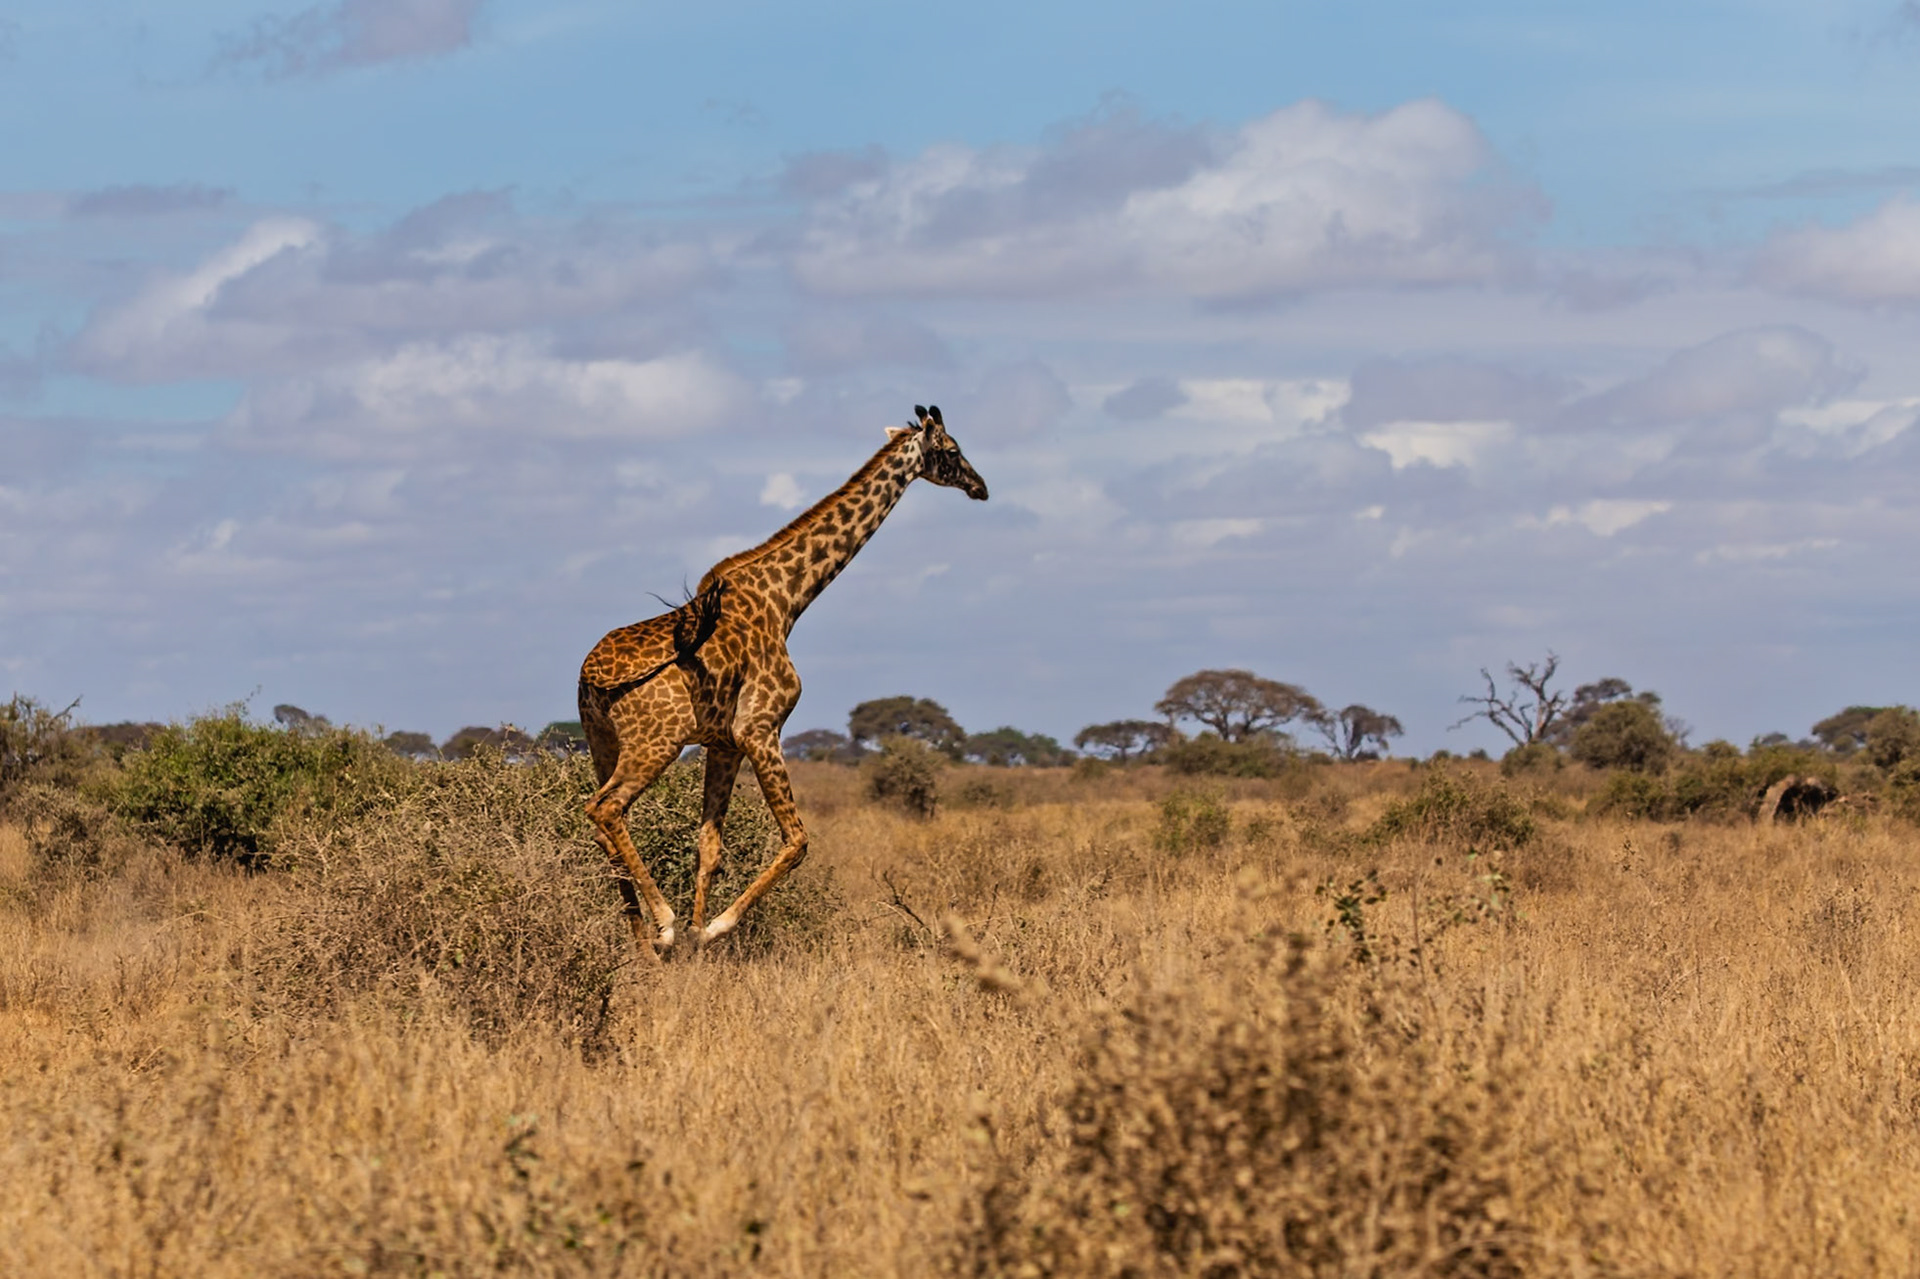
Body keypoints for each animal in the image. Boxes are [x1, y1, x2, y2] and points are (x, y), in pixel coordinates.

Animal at [577, 404, 989, 957]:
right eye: (951, 449)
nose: (980, 486)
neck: (786, 599)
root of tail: (591, 673)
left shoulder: (724, 742)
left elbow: (709, 845)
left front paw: (696, 943)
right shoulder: (761, 728)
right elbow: (798, 840)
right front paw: (712, 927)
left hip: (602, 741)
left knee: (601, 822)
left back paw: (642, 944)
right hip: (655, 742)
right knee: (605, 809)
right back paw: (661, 924)